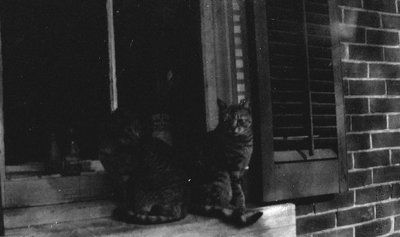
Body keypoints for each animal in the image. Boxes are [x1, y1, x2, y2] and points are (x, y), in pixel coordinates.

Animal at [190, 99, 264, 227]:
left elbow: (239, 189)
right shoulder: (233, 168)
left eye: (240, 120)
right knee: (215, 202)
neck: (243, 142)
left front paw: (239, 204)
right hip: (221, 176)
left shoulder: (241, 169)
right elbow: (239, 191)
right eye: (226, 120)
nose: (233, 128)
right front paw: (241, 206)